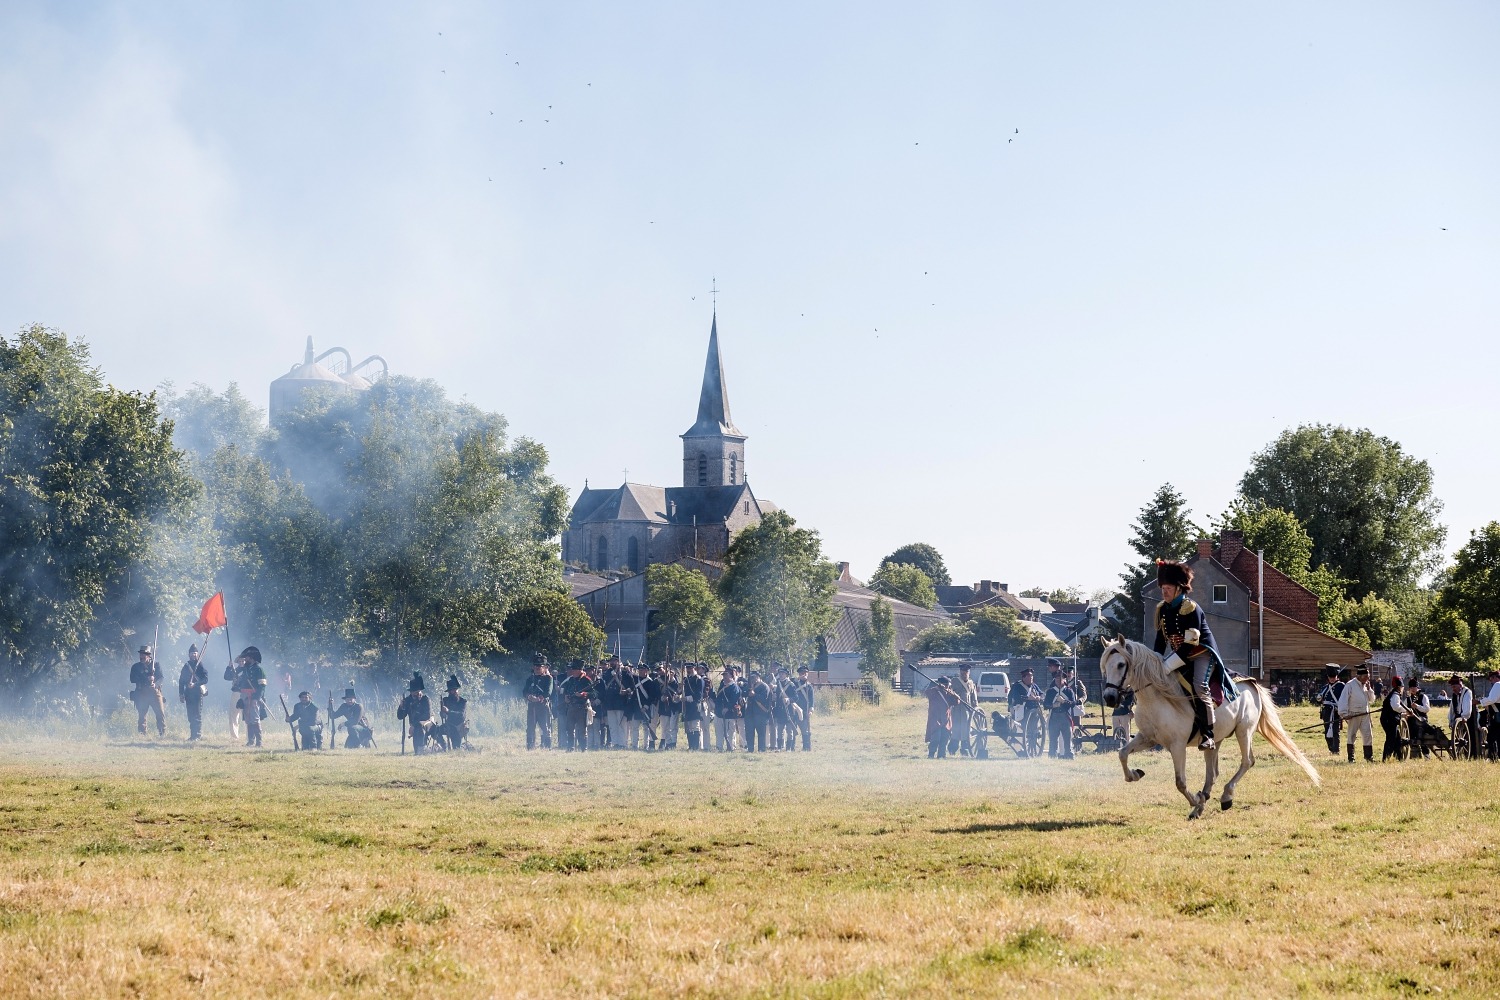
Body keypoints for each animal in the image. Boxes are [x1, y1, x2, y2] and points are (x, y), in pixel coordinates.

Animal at [1098, 641, 1320, 821]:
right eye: (1105, 666)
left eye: (1121, 664)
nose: (1109, 697)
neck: (1159, 697)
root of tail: (1251, 683)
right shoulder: (1147, 738)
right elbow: (1122, 753)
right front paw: (1134, 774)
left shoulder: (1177, 746)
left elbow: (1180, 782)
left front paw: (1195, 801)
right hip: (1215, 740)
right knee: (1213, 773)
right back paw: (1203, 801)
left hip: (1244, 731)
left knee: (1247, 761)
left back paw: (1225, 796)